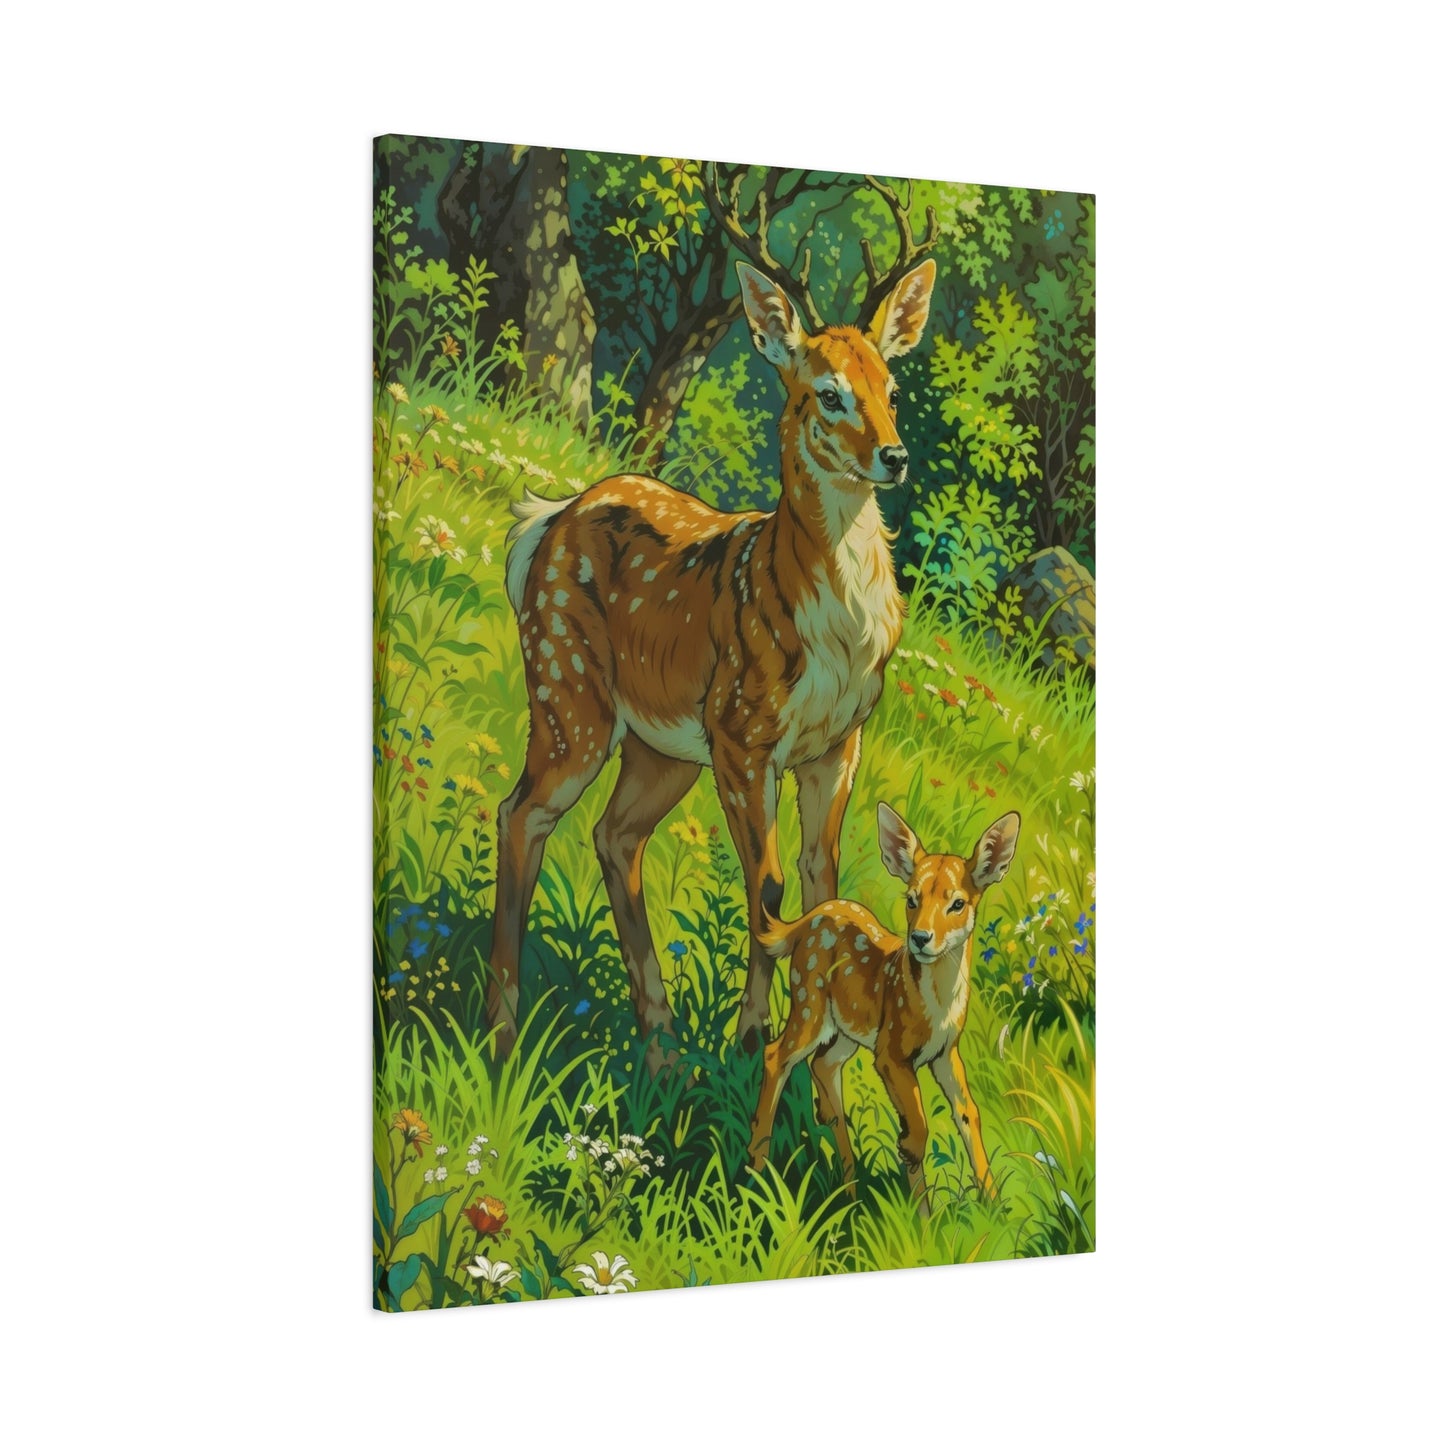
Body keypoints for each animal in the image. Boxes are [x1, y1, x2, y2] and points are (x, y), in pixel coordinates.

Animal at [487, 257, 936, 1071]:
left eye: (891, 390)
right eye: (828, 393)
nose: (894, 457)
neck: (836, 635)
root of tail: (544, 522)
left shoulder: (838, 743)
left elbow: (820, 876)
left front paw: (804, 1052)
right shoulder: (742, 730)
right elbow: (767, 885)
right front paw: (751, 1037)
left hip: (659, 746)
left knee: (614, 836)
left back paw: (661, 1043)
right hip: (568, 686)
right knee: (521, 811)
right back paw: (503, 1033)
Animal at [747, 804, 1020, 1206]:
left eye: (958, 903)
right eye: (911, 899)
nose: (920, 937)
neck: (938, 1008)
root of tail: (807, 919)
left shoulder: (946, 1052)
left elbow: (968, 1112)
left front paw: (993, 1203)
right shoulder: (891, 1051)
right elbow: (919, 1123)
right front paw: (915, 1178)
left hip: (847, 1029)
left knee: (822, 1066)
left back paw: (848, 1187)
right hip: (809, 1003)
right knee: (774, 1055)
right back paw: (757, 1169)